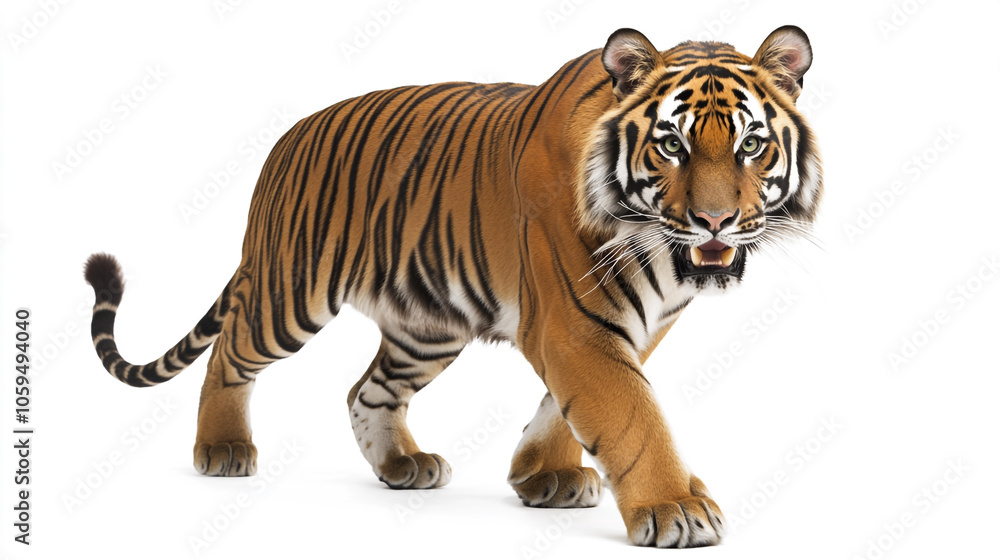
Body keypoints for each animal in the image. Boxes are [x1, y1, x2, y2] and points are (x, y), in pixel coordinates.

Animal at [84, 25, 821, 548]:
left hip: (426, 325)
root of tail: (285, 142)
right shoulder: (576, 325)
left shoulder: (629, 325)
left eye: (751, 145)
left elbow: (572, 405)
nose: (715, 220)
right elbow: (631, 413)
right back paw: (223, 448)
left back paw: (401, 465)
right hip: (289, 294)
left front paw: (542, 475)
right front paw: (676, 508)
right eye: (672, 145)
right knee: (229, 352)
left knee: (366, 390)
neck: (664, 258)